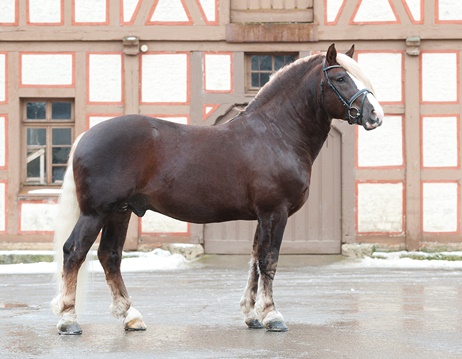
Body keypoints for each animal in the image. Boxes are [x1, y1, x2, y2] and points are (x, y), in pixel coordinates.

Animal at [51, 43, 382, 336]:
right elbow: (269, 260)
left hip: (120, 212)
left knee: (110, 256)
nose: (375, 115)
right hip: (97, 212)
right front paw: (272, 315)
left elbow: (254, 260)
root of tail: (86, 135)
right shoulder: (275, 212)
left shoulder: (262, 216)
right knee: (75, 251)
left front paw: (252, 315)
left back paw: (131, 317)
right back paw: (68, 320)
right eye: (340, 78)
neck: (276, 133)